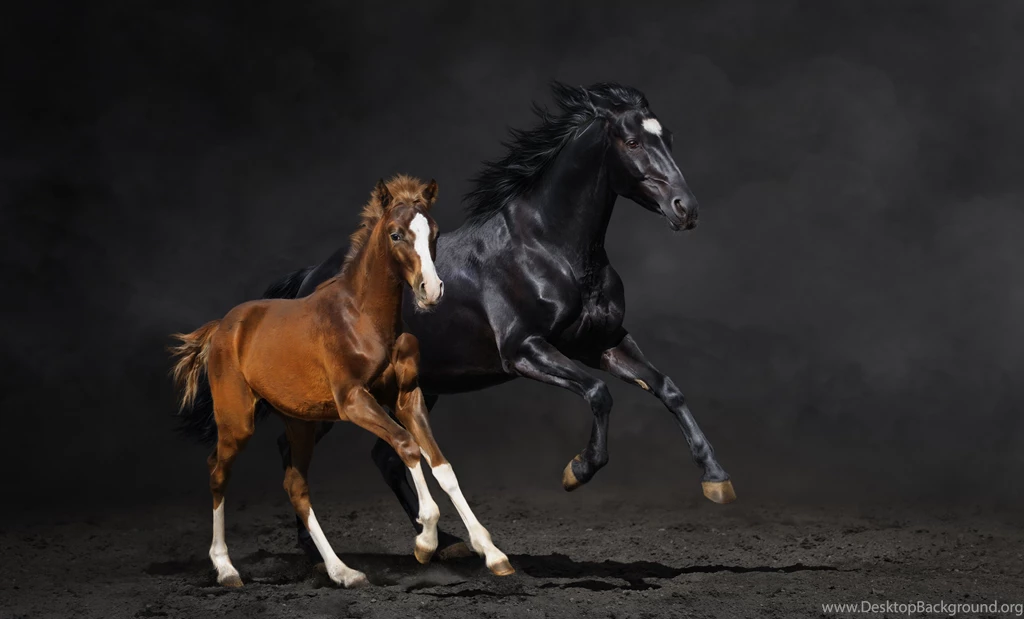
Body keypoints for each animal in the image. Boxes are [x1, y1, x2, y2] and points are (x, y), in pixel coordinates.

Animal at [169, 176, 513, 588]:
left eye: (434, 233)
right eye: (396, 234)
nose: (431, 290)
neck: (363, 318)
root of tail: (222, 326)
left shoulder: (407, 397)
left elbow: (441, 465)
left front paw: (492, 553)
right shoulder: (353, 400)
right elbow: (407, 445)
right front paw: (426, 540)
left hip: (299, 421)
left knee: (295, 485)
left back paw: (343, 571)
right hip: (237, 419)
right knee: (218, 472)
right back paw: (225, 568)